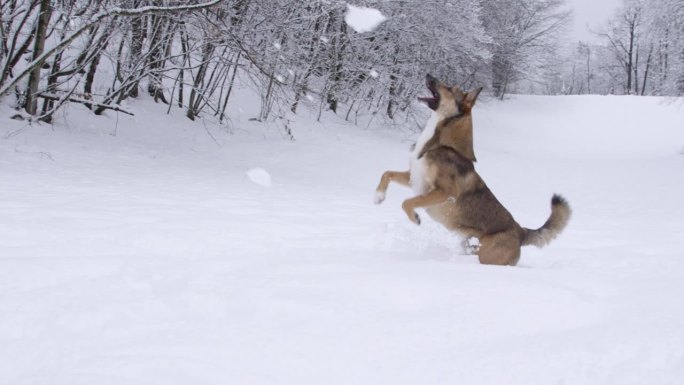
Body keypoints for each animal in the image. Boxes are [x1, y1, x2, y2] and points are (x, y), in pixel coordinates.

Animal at [376, 74, 568, 266]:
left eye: (450, 88)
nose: (429, 75)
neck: (441, 144)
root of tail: (521, 232)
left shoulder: (444, 192)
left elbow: (407, 202)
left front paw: (415, 218)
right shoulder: (414, 178)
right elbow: (386, 173)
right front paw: (378, 196)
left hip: (486, 256)